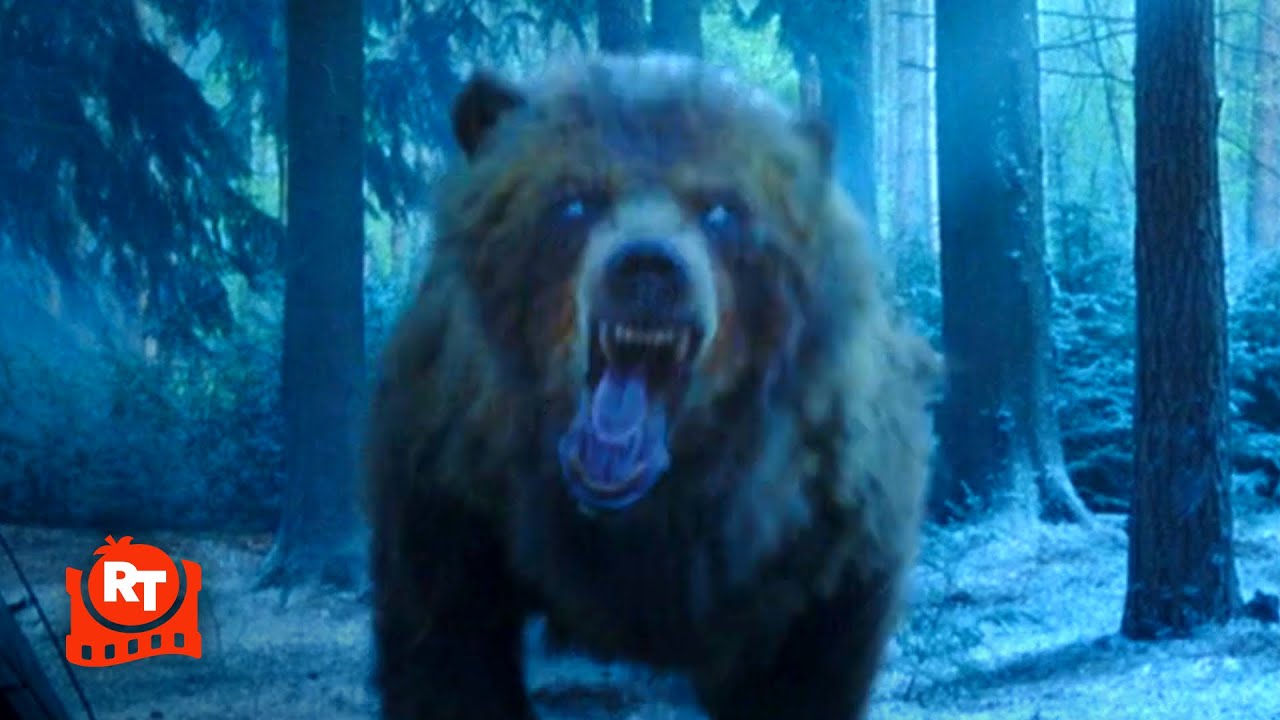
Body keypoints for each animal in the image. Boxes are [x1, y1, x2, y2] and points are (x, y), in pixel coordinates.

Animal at [363, 53, 940, 720]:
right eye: (576, 201)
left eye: (721, 210)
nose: (648, 267)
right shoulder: (451, 488)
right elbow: (445, 654)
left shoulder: (823, 527)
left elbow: (804, 669)